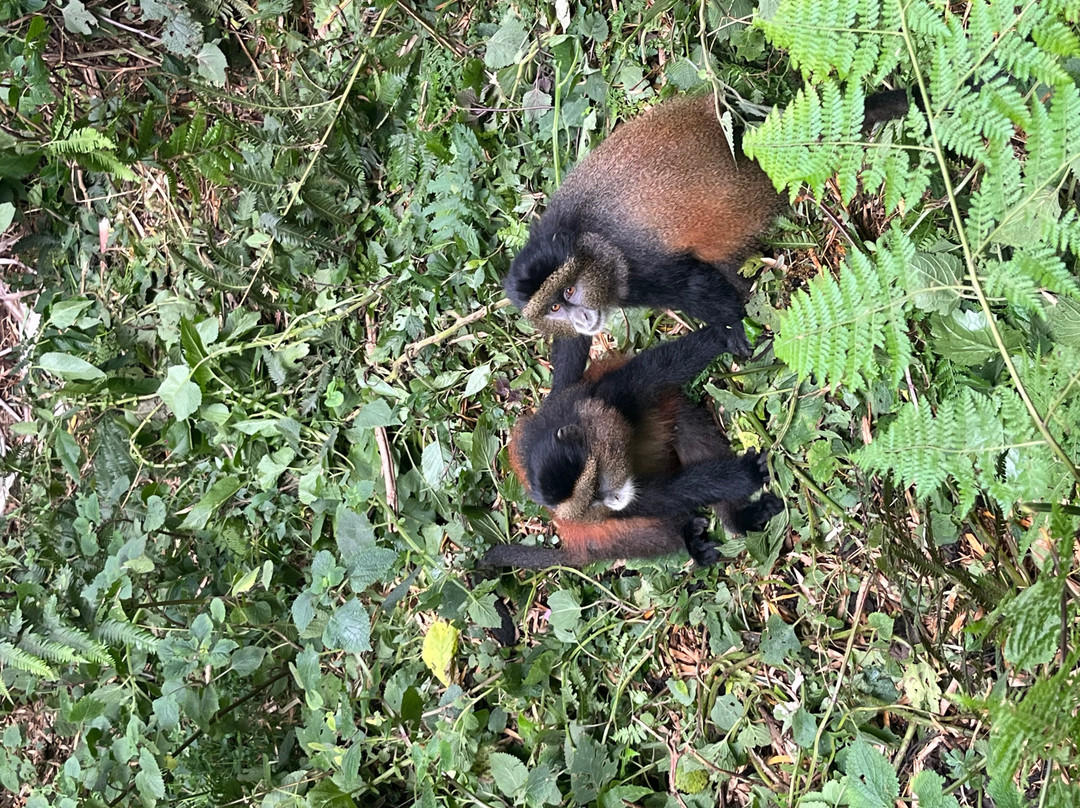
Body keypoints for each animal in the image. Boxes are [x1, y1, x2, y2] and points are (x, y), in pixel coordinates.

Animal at [480, 326, 784, 569]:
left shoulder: (607, 395)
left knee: (685, 427)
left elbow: (661, 367)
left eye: (597, 488)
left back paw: (738, 518)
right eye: (593, 502)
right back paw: (690, 537)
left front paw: (725, 336)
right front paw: (744, 476)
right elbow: (662, 497)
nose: (612, 499)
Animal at [504, 90, 914, 391]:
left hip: (749, 204)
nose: (583, 317)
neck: (576, 234)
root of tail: (750, 150)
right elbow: (571, 345)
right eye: (555, 307)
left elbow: (694, 285)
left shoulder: (638, 267)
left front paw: (732, 328)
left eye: (570, 291)